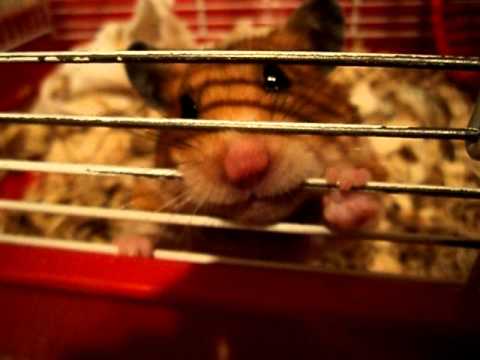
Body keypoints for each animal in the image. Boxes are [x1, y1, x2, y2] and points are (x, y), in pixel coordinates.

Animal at [115, 0, 386, 258]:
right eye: (187, 108)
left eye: (277, 78)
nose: (245, 168)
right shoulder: (151, 196)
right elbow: (141, 223)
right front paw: (130, 251)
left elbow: (356, 222)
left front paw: (346, 182)